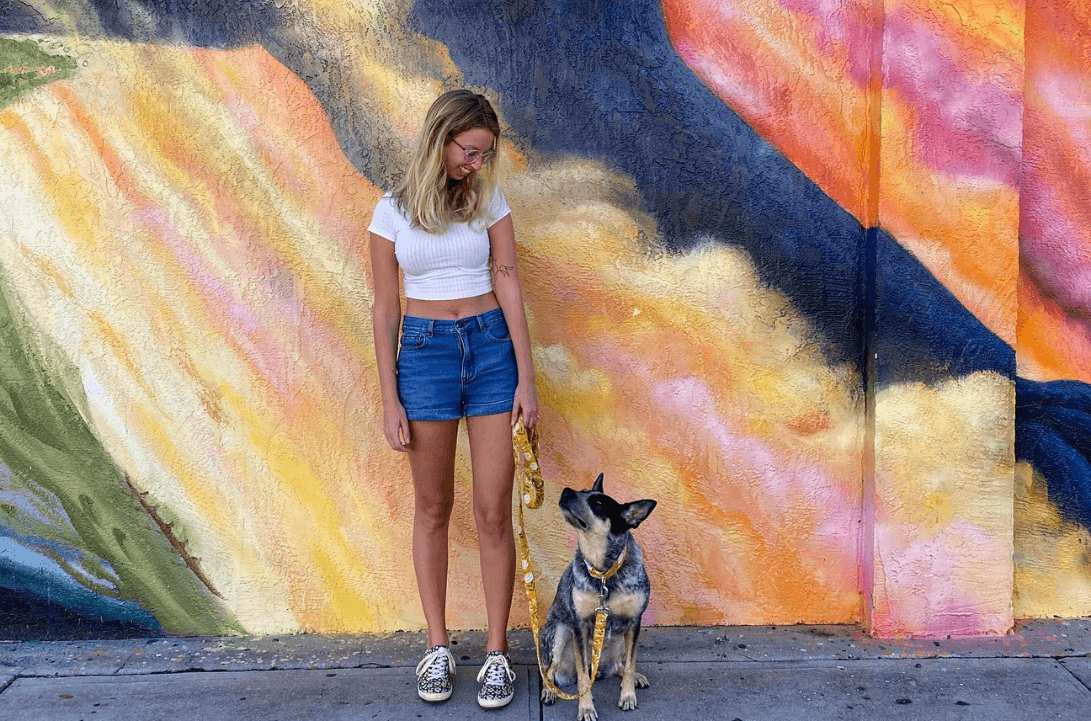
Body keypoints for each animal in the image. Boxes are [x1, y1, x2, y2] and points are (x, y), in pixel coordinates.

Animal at [538, 473, 654, 719]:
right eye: (582, 491)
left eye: (598, 504)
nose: (566, 490)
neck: (603, 572)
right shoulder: (579, 625)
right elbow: (583, 677)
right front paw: (586, 708)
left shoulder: (634, 622)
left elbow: (630, 664)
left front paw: (628, 695)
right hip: (560, 633)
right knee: (549, 671)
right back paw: (550, 691)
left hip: (620, 639)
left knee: (620, 666)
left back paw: (634, 677)